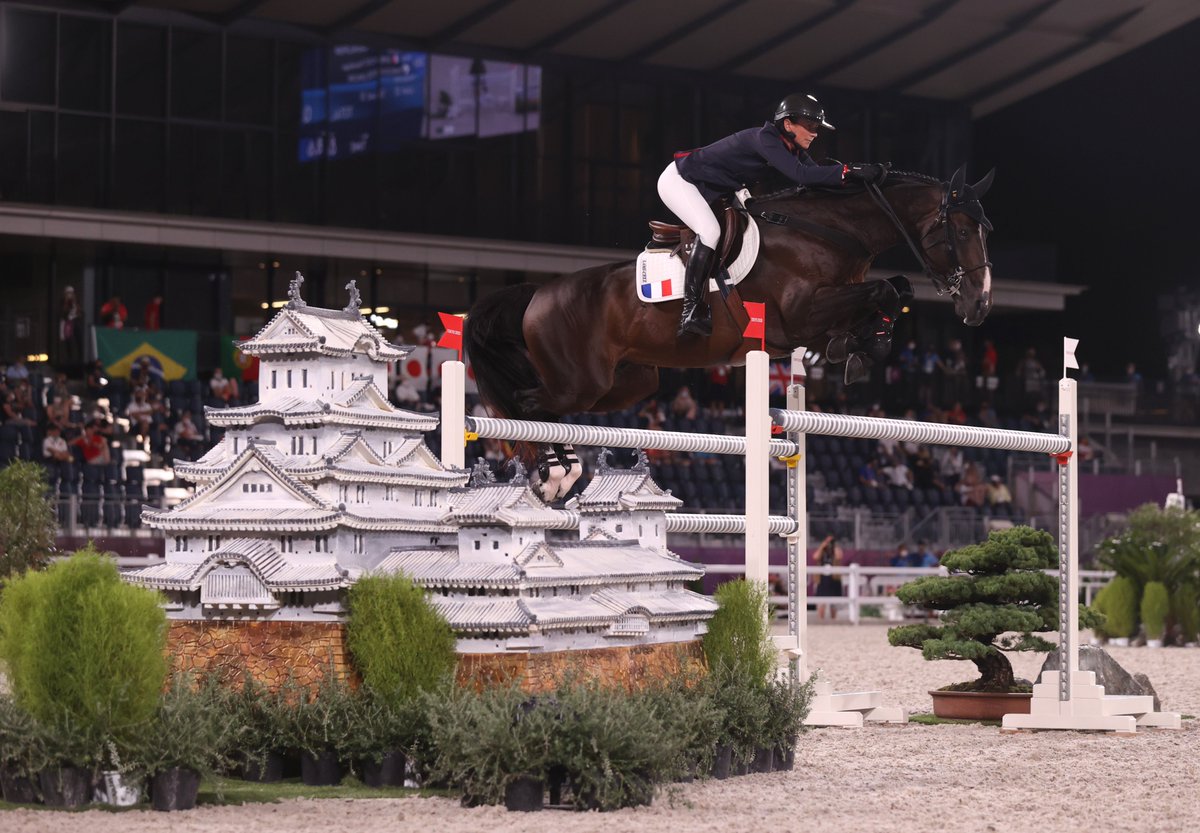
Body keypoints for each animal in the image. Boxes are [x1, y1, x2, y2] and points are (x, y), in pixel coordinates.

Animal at [463, 166, 998, 499]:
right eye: (962, 232)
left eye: (984, 230)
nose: (979, 306)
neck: (832, 230)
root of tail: (537, 293)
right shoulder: (798, 314)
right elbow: (887, 289)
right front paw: (862, 348)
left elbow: (892, 290)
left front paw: (858, 348)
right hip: (581, 379)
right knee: (529, 403)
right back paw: (553, 473)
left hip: (629, 382)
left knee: (548, 407)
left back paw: (562, 470)